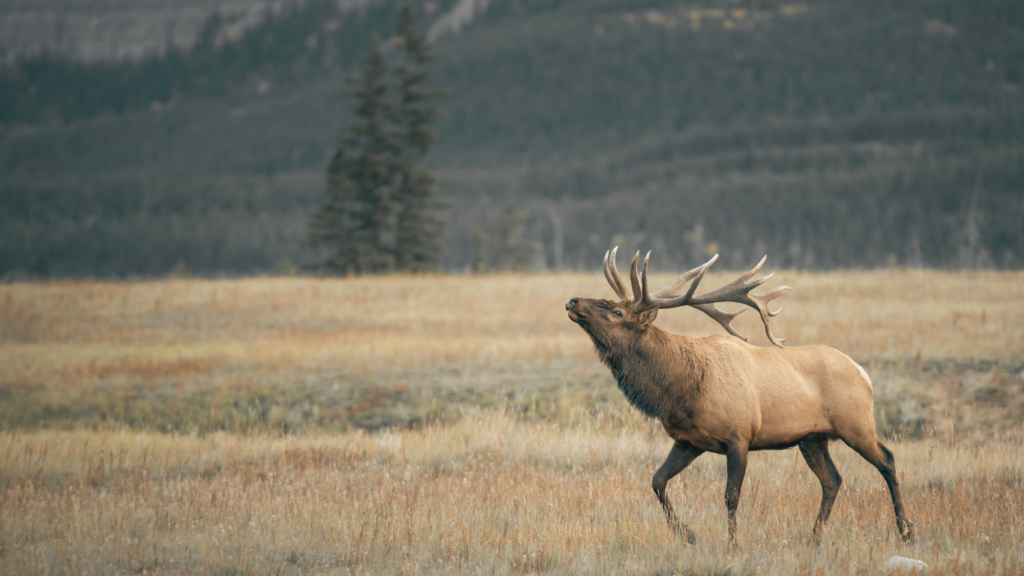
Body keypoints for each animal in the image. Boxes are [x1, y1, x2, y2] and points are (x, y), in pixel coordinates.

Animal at [565, 247, 917, 541]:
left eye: (617, 313)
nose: (572, 301)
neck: (680, 392)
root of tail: (862, 372)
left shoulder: (739, 437)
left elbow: (730, 496)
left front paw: (732, 544)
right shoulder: (688, 441)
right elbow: (657, 481)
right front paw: (687, 534)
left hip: (855, 423)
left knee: (887, 460)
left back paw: (906, 530)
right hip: (812, 438)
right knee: (833, 480)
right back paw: (815, 538)